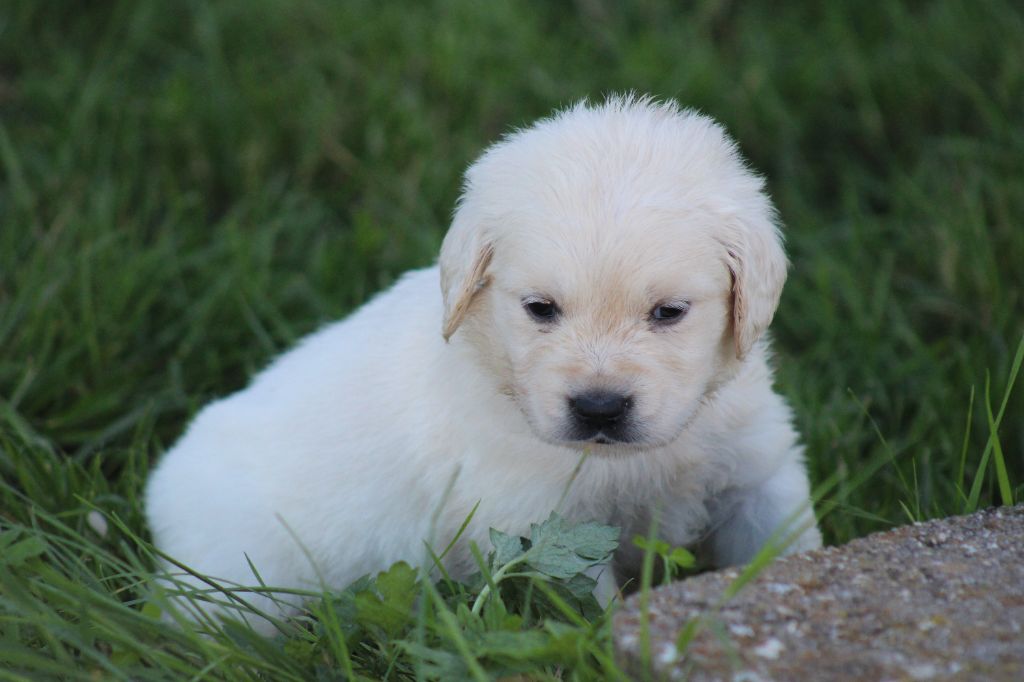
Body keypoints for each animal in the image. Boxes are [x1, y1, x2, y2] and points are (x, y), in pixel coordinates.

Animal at [145, 95, 821, 633]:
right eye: (540, 308)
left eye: (670, 312)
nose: (599, 407)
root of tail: (160, 491)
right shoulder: (540, 528)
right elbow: (591, 610)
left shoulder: (757, 470)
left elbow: (788, 546)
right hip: (234, 587)